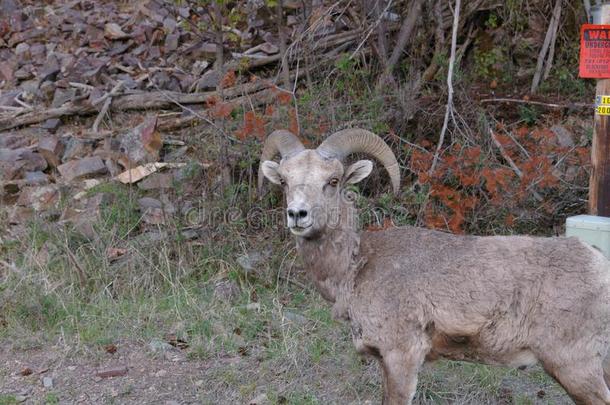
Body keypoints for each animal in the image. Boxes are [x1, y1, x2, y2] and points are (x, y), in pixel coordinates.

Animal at [258, 129, 608, 404]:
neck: (355, 268)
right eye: (284, 181)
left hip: (574, 367)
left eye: (332, 180)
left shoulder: (402, 357)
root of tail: (599, 264)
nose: (298, 214)